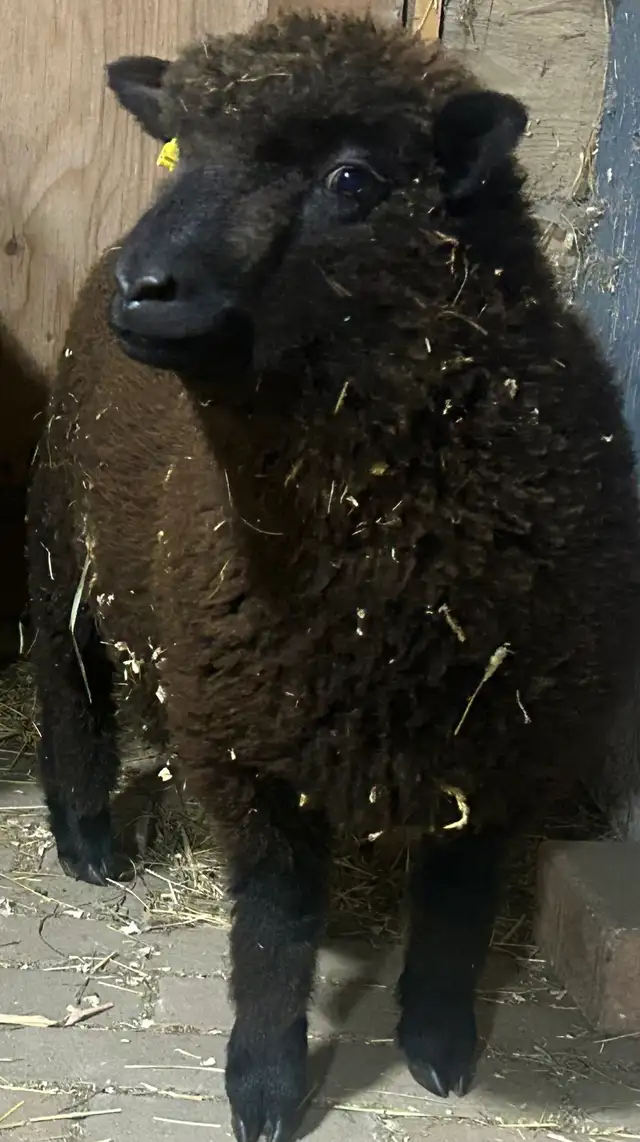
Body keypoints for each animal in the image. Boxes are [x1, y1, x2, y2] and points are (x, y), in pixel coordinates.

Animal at [26, 11, 640, 1142]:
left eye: (352, 179)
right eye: (179, 148)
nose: (145, 284)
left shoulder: (504, 739)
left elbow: (458, 904)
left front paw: (439, 1047)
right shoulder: (249, 743)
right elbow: (275, 931)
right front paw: (265, 1085)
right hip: (61, 542)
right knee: (69, 683)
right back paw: (86, 835)